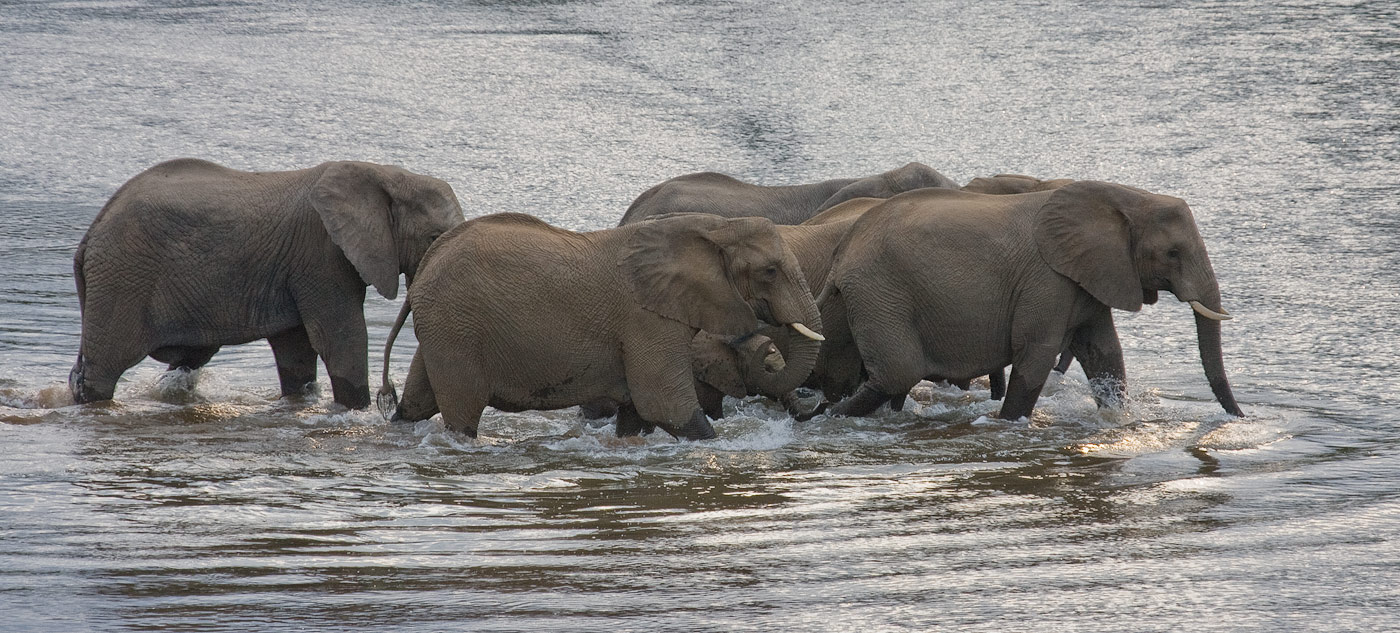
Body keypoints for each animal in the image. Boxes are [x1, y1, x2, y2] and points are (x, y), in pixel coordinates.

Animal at [69, 155, 464, 408]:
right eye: (433, 238)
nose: (389, 395)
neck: (383, 174)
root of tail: (90, 232)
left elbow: (296, 348)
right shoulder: (319, 254)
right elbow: (342, 338)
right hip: (122, 279)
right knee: (104, 367)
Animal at [378, 212, 823, 439]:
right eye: (769, 271)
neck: (710, 226)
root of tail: (428, 262)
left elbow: (639, 414)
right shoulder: (646, 319)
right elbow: (666, 405)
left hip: (443, 327)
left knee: (417, 403)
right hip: (457, 326)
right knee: (461, 414)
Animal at [806, 182, 1243, 420]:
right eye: (1172, 253)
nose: (1239, 416)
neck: (1123, 196)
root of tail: (841, 253)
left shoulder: (1087, 276)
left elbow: (1104, 352)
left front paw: (1117, 419)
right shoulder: (1047, 280)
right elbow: (1036, 353)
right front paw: (1007, 424)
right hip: (881, 293)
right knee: (896, 374)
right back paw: (821, 417)